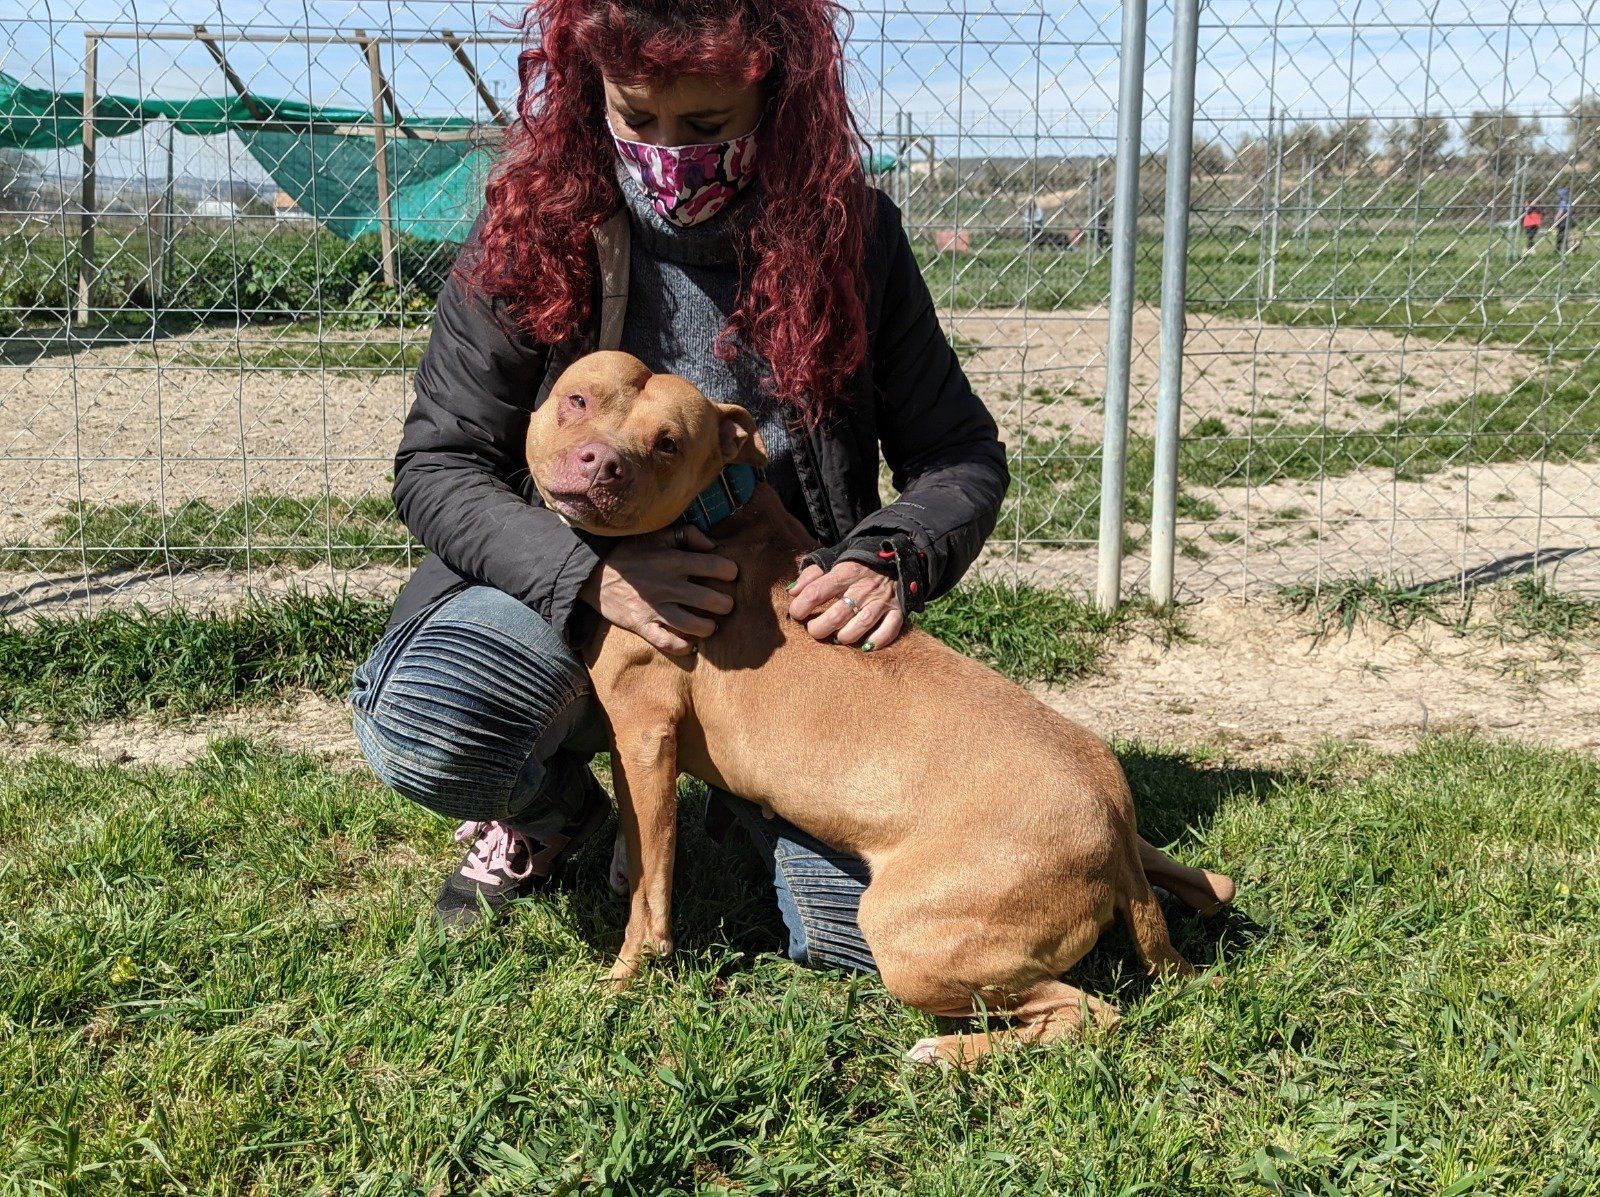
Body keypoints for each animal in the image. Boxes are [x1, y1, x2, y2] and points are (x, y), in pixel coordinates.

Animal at [526, 351, 1233, 1065]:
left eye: (667, 442)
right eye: (578, 400)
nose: (599, 462)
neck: (710, 511)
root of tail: (1109, 825)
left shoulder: (644, 737)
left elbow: (652, 887)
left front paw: (625, 978)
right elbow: (637, 845)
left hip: (907, 932)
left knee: (1088, 1013)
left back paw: (943, 1054)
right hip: (1125, 841)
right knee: (1208, 886)